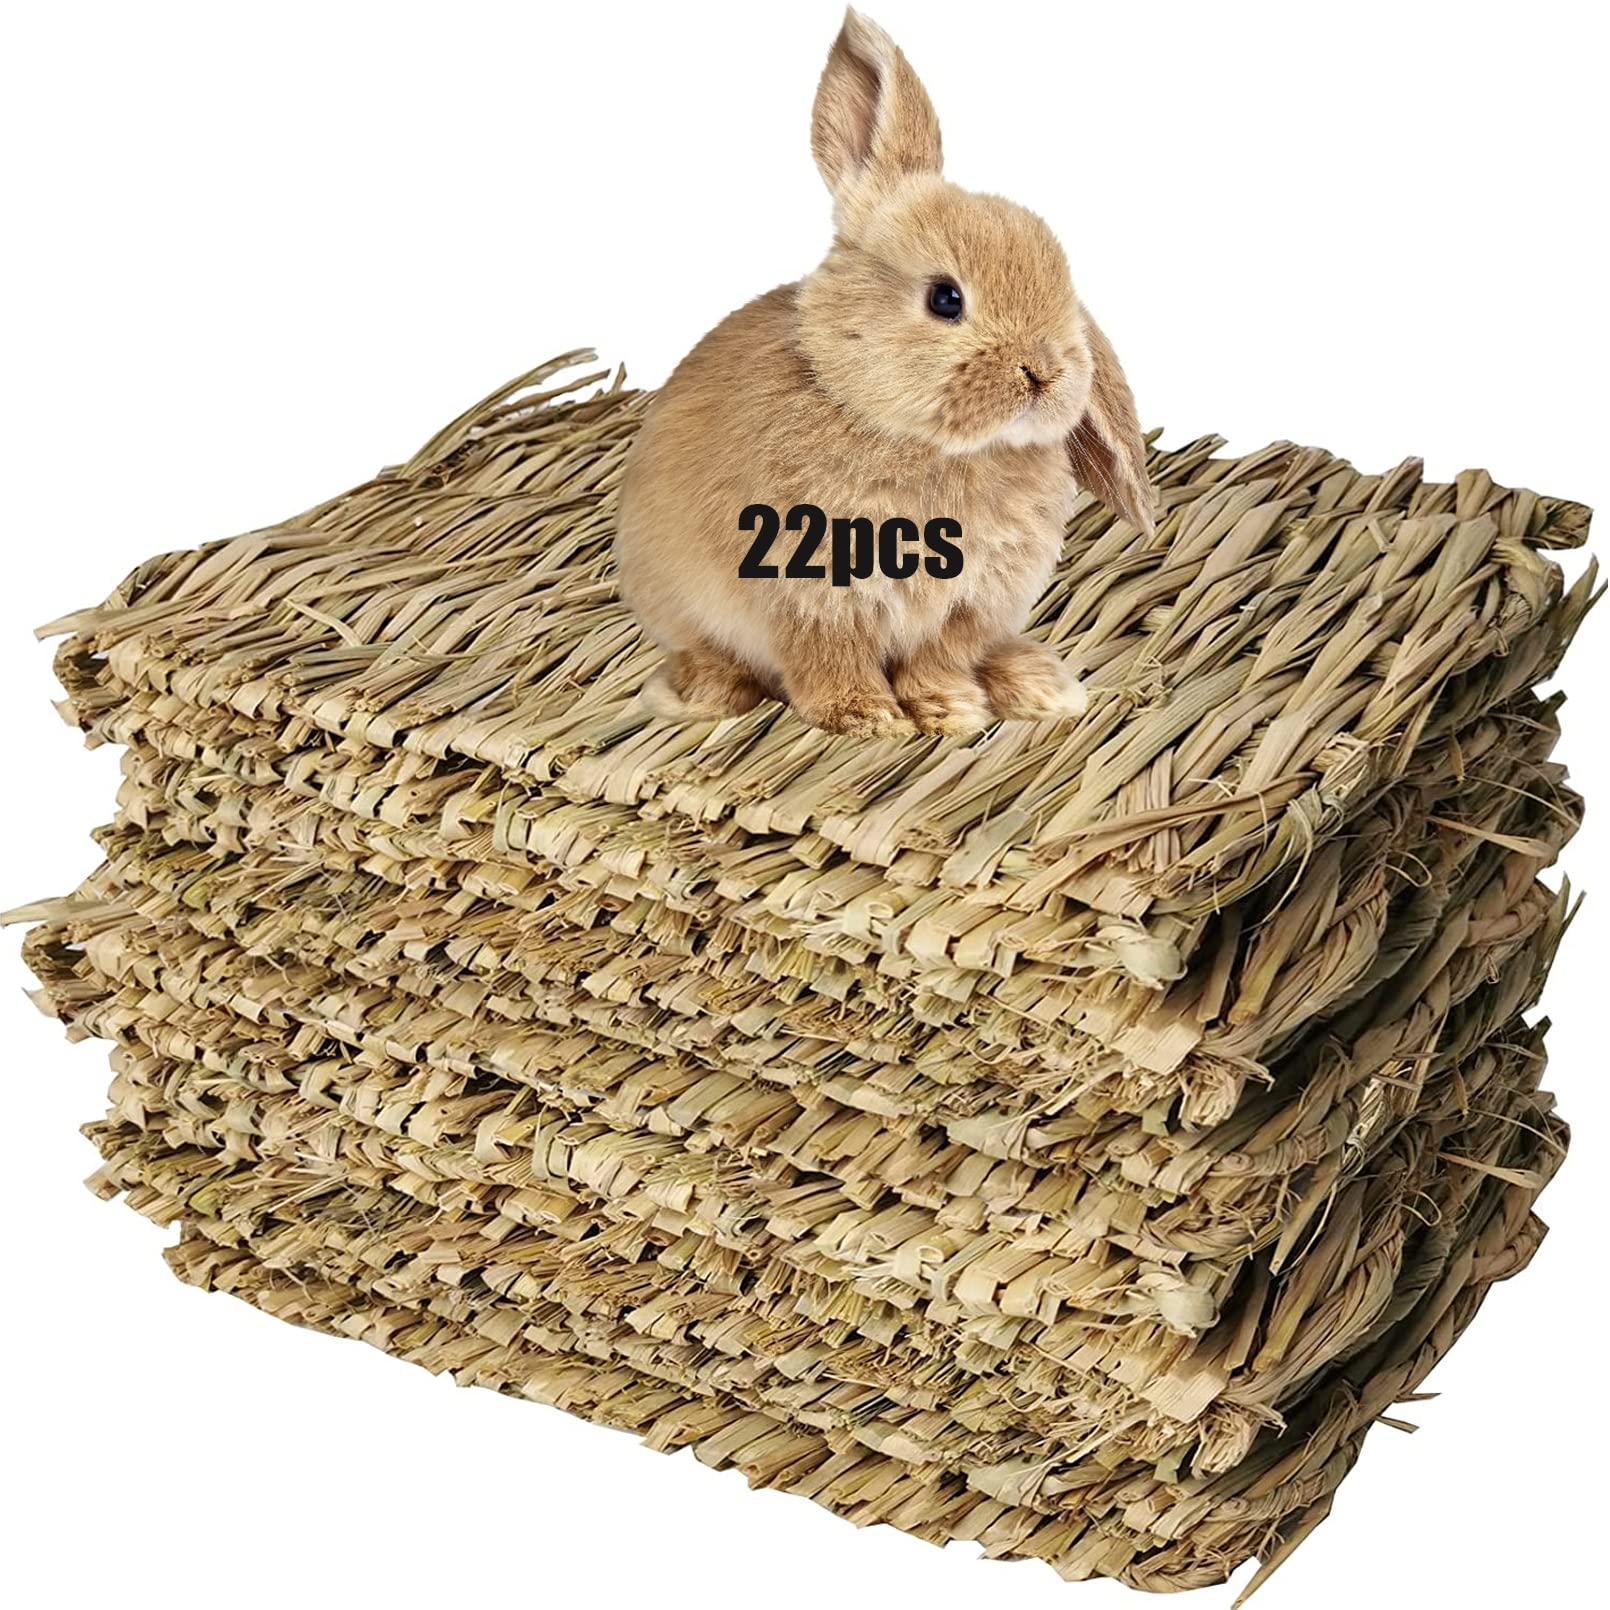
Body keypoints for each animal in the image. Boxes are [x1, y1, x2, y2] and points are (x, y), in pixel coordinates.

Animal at [615, 8, 1153, 737]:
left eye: (1064, 290)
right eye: (945, 298)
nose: (1044, 372)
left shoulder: (964, 608)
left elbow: (936, 661)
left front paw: (951, 710)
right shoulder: (811, 599)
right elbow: (828, 662)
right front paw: (870, 719)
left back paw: (1038, 684)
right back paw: (701, 694)